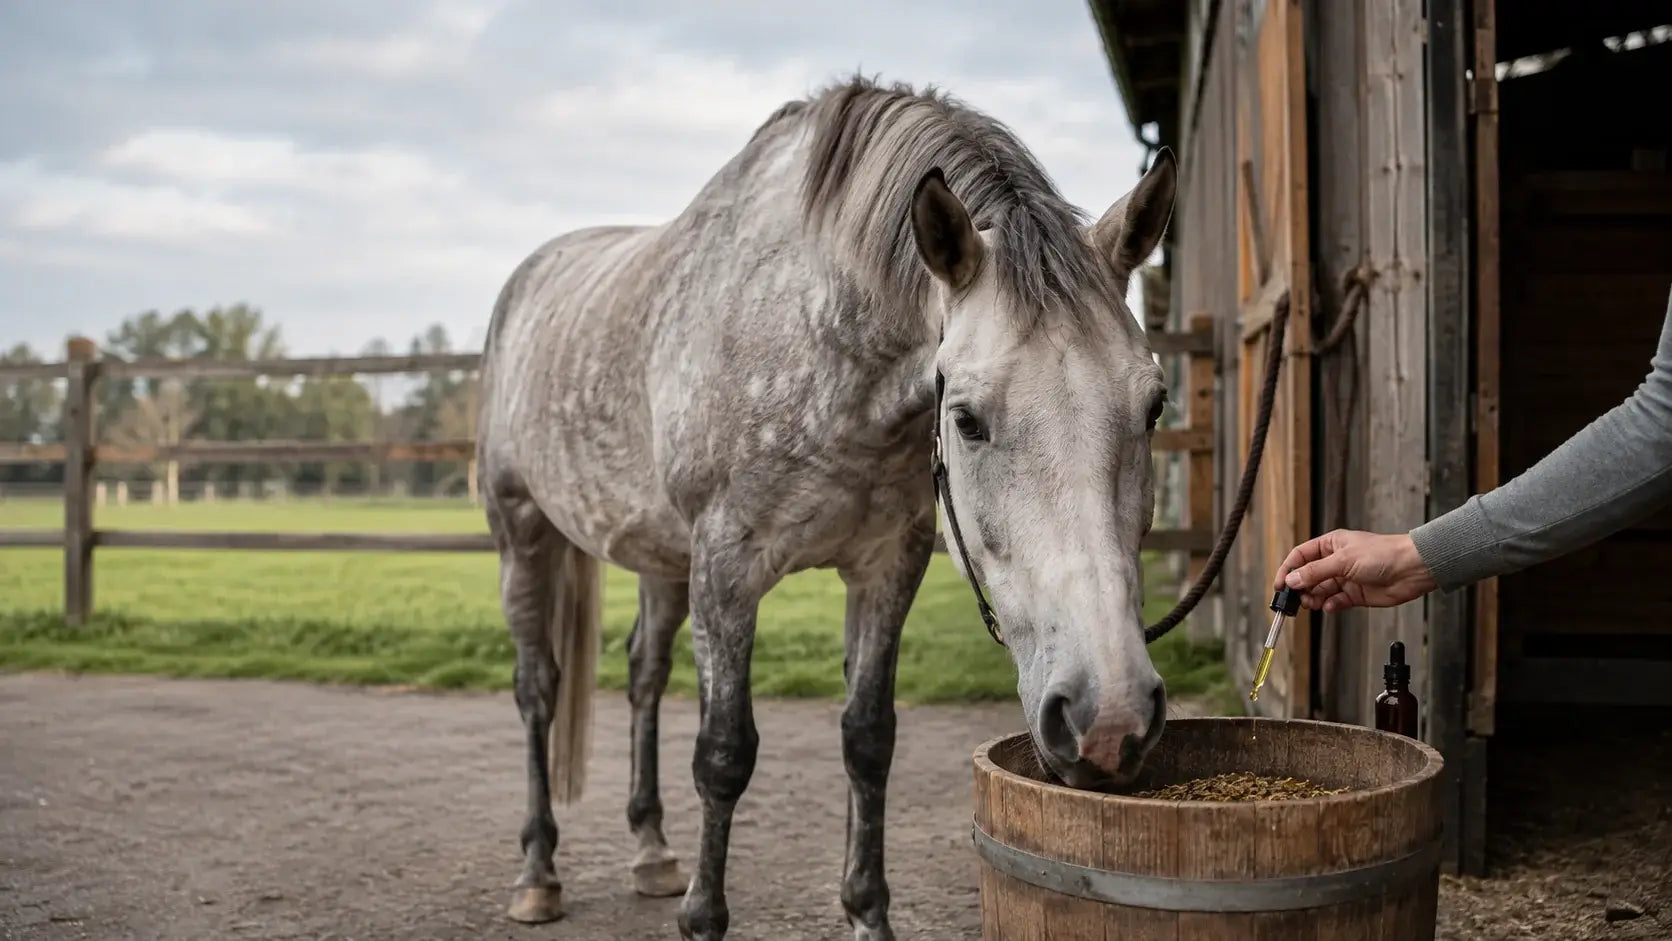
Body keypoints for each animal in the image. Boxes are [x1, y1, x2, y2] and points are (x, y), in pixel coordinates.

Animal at [475, 75, 1177, 941]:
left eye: (1153, 404)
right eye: (968, 418)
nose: (1109, 718)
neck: (813, 331)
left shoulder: (885, 565)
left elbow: (868, 737)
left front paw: (867, 912)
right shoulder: (727, 567)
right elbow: (723, 751)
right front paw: (703, 916)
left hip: (660, 562)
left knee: (643, 674)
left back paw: (651, 851)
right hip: (523, 536)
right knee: (537, 687)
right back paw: (539, 872)